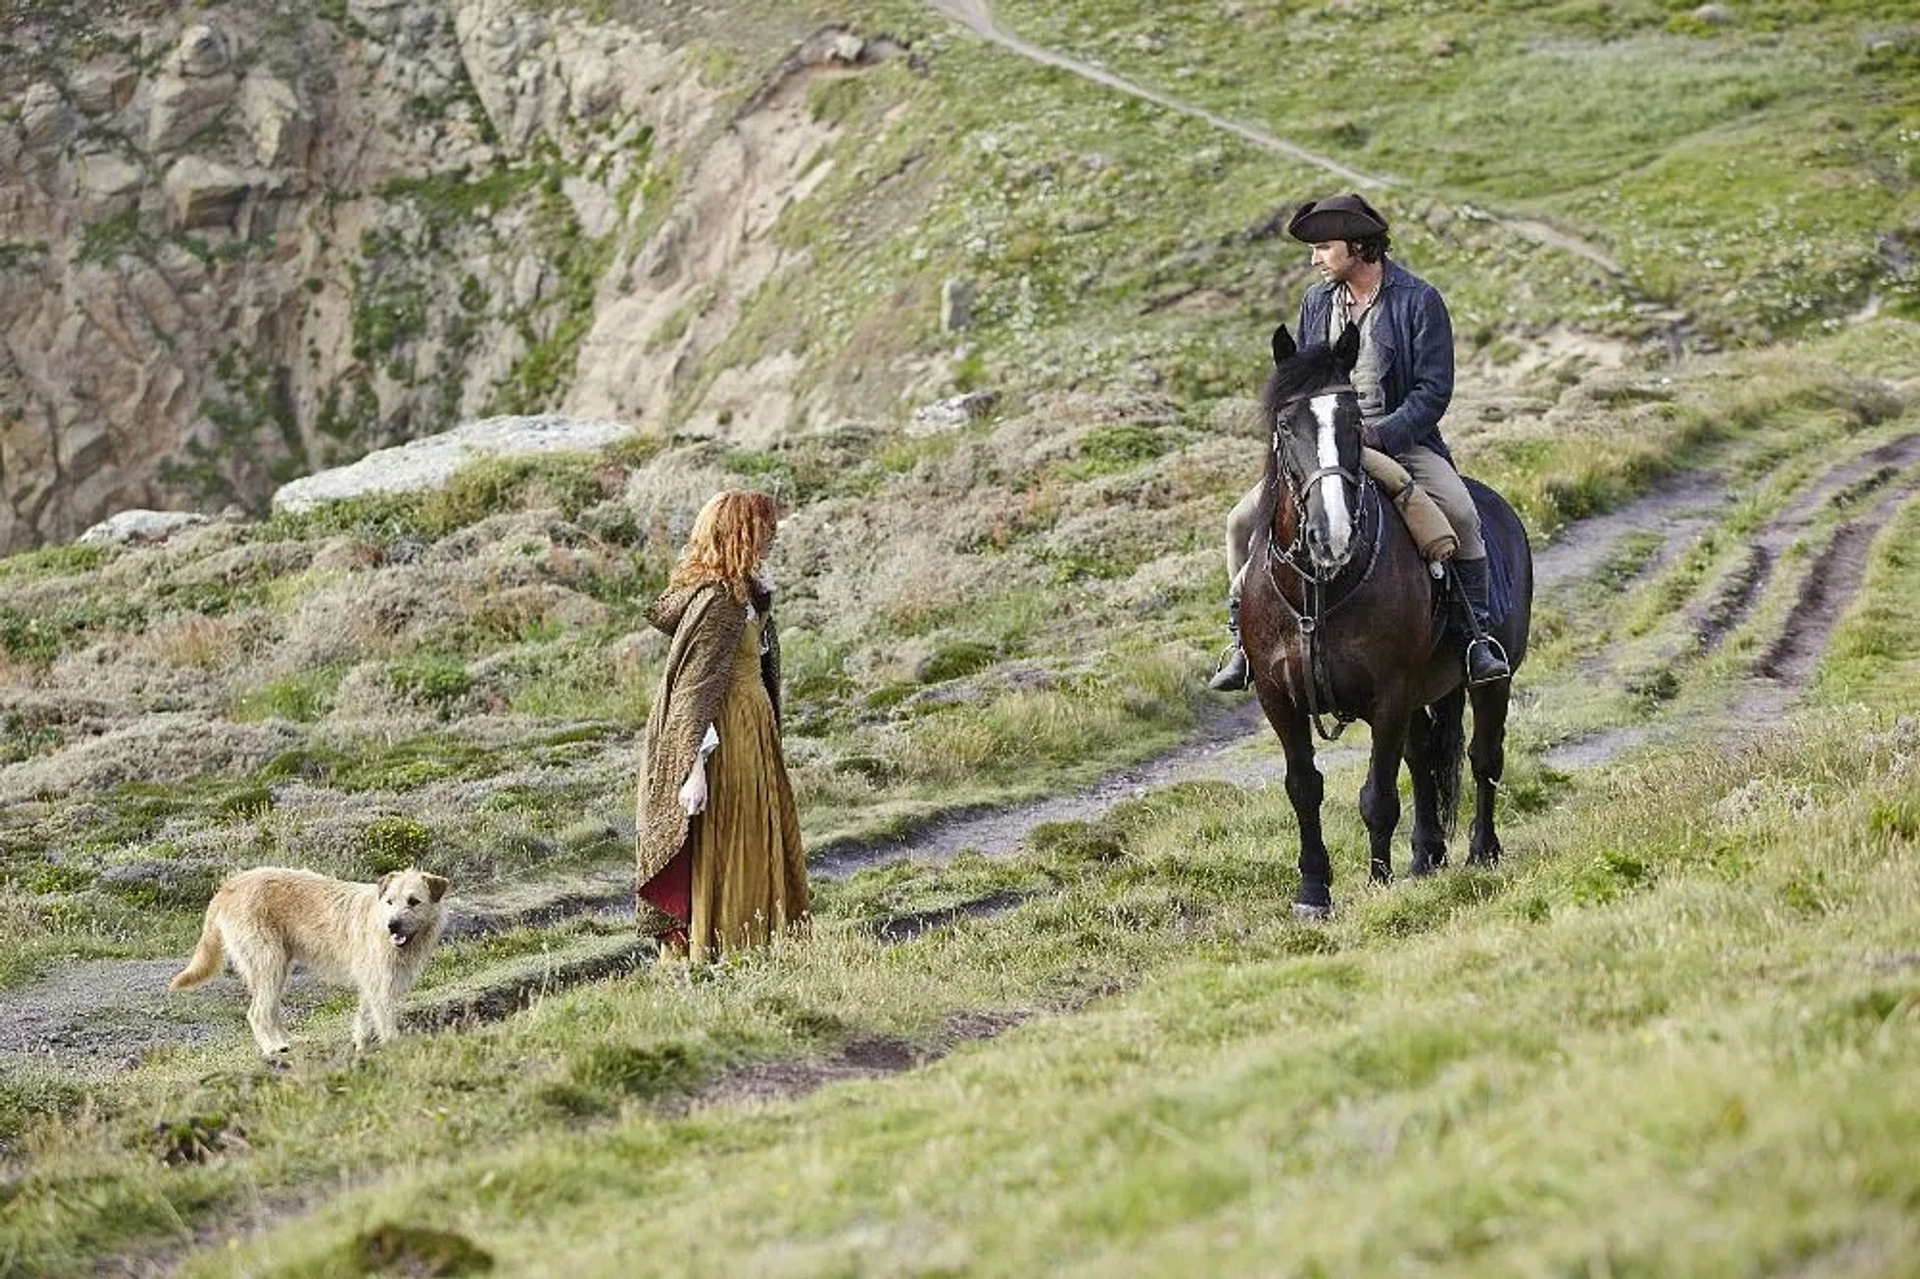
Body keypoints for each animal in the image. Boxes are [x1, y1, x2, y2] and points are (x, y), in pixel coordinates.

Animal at [169, 868, 453, 1052]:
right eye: (390, 901)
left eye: (413, 901)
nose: (392, 925)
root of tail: (229, 886)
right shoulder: (380, 983)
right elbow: (384, 1018)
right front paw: (395, 1044)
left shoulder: (372, 982)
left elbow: (364, 1016)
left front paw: (361, 1044)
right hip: (268, 962)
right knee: (257, 1013)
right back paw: (274, 1048)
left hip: (276, 968)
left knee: (270, 1010)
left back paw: (287, 1041)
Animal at [1236, 324, 1536, 910]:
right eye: (1285, 423)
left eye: (1355, 421)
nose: (1330, 535)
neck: (1318, 588)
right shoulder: (1278, 699)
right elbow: (1303, 787)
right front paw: (1313, 890)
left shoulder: (1390, 694)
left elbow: (1377, 794)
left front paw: (1378, 881)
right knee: (1423, 757)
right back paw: (1426, 856)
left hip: (1492, 678)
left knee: (1484, 756)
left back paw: (1482, 851)